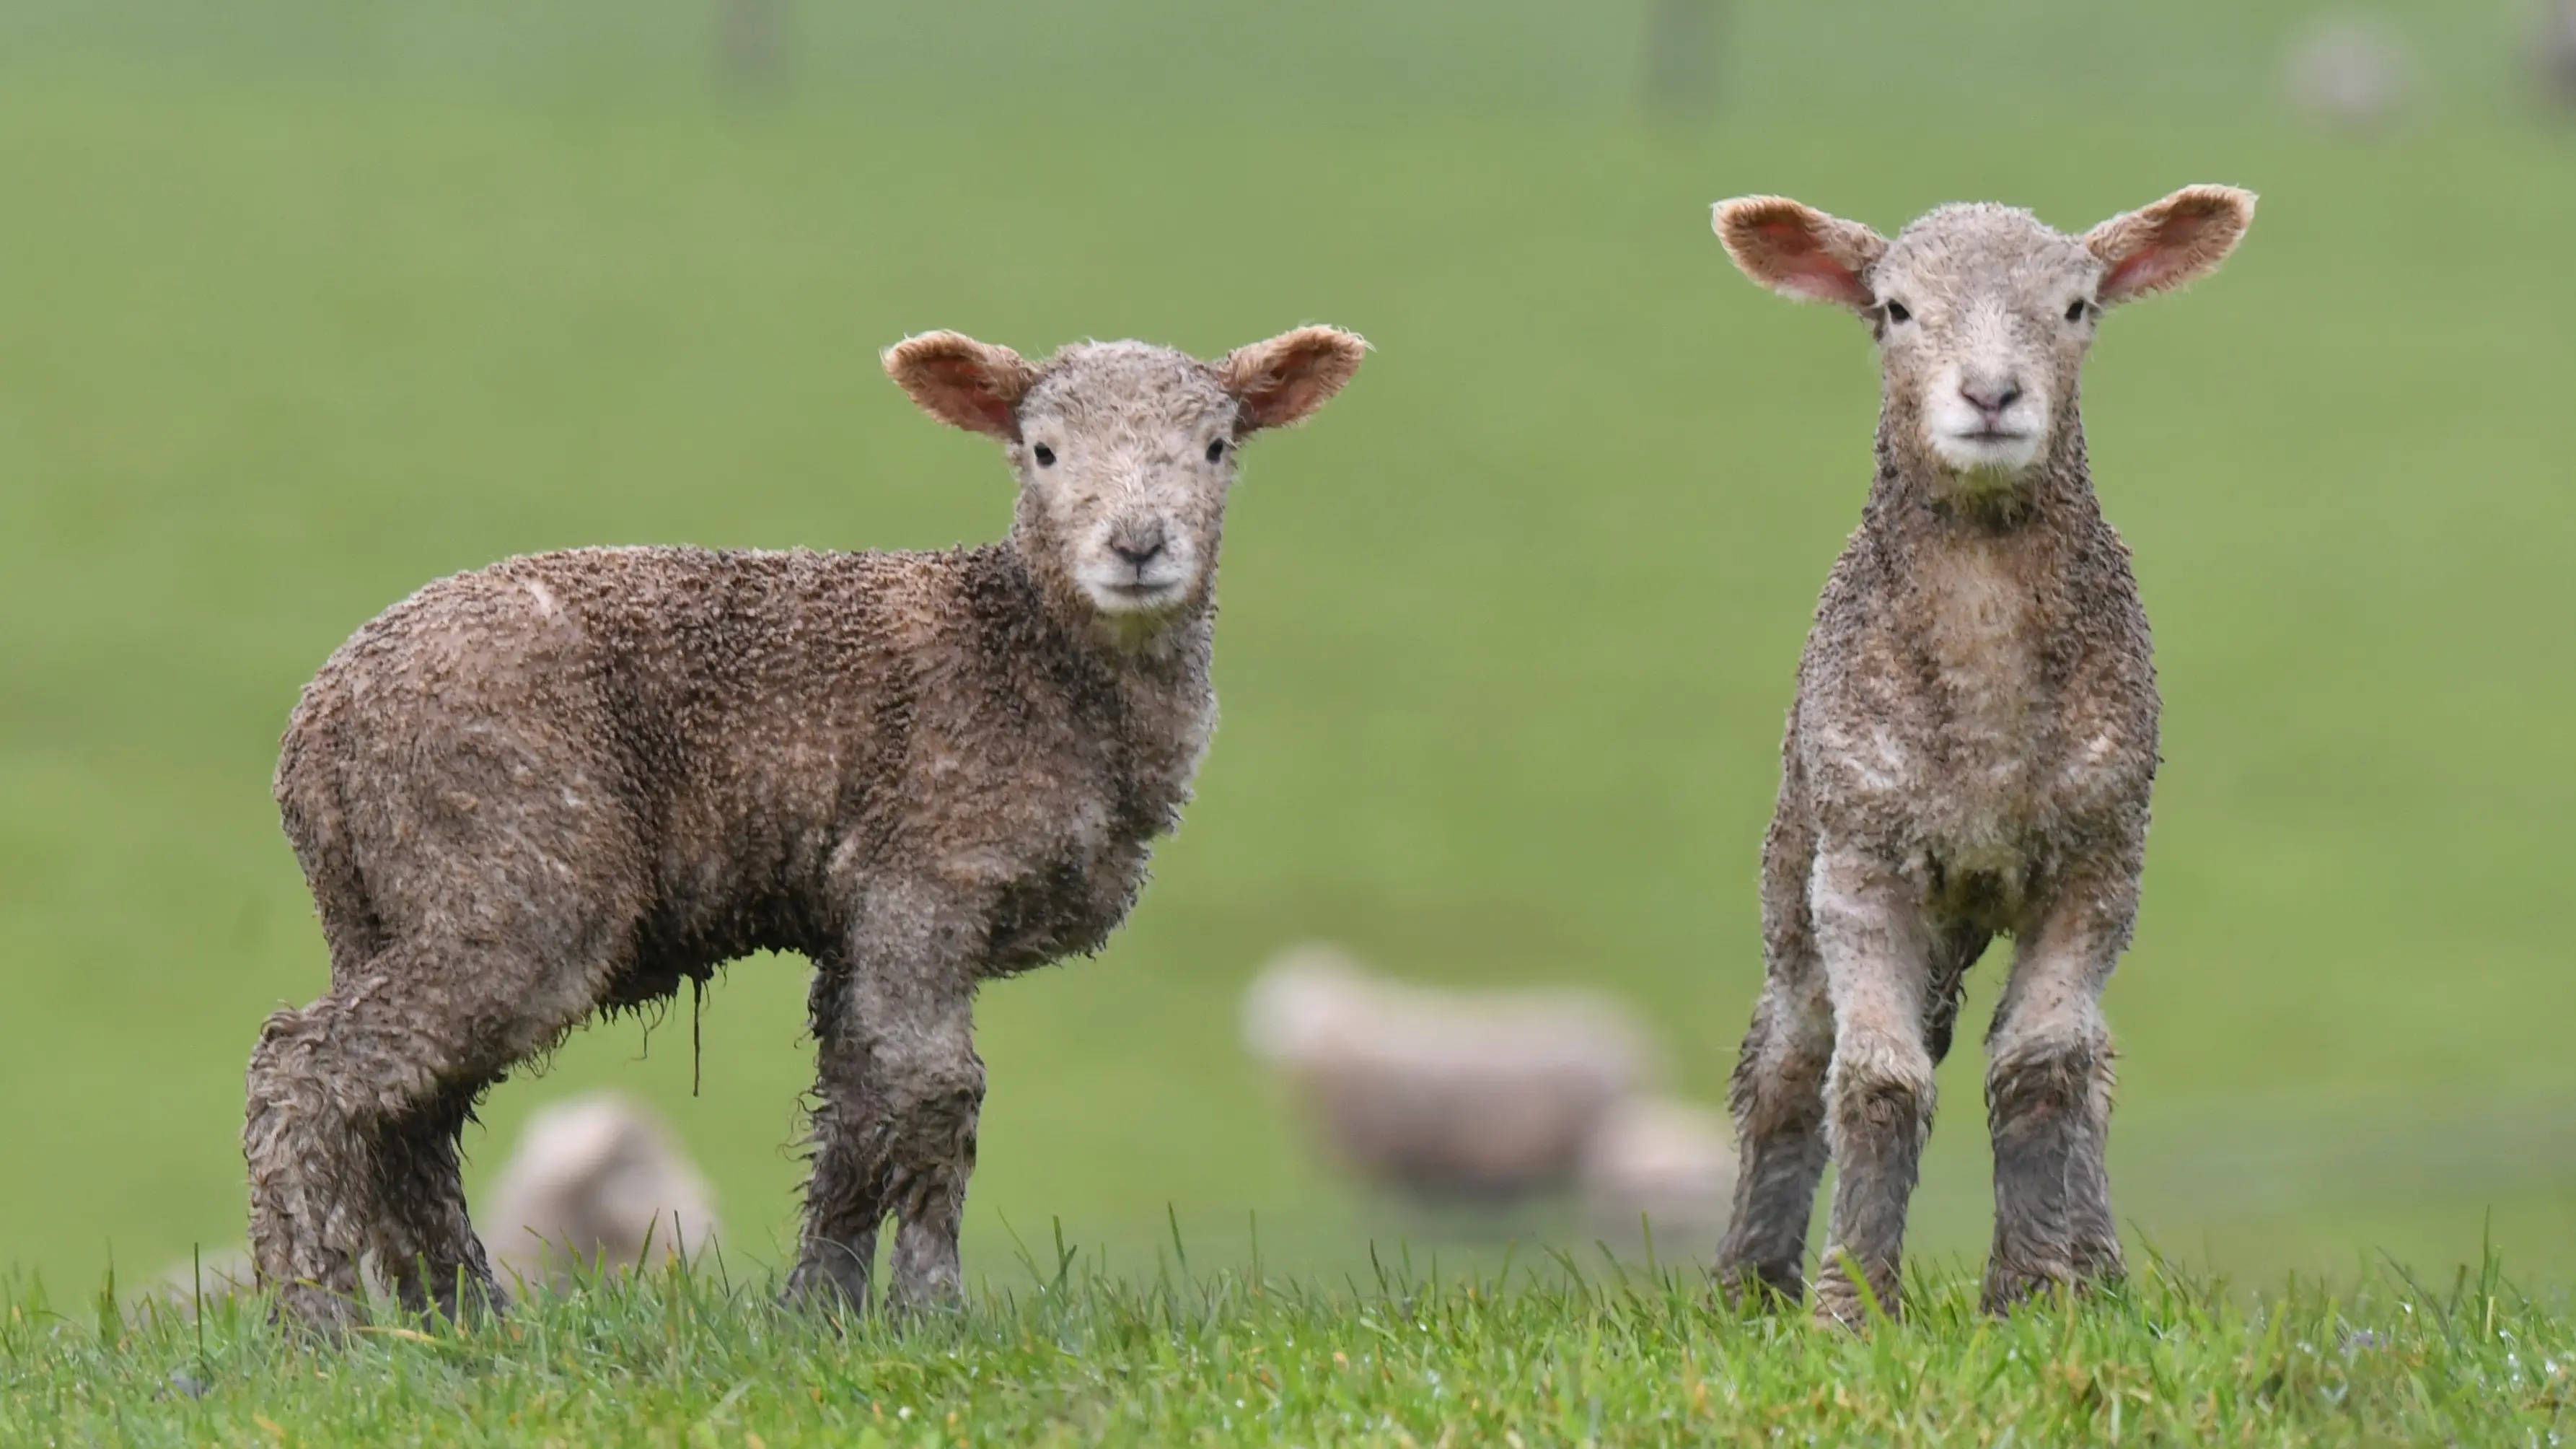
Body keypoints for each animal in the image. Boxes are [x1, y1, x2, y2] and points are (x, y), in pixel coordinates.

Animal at [1706, 187, 2254, 1323]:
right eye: (1895, 310)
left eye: (2077, 307)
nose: (1991, 393)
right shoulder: (1862, 861)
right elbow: (1877, 1080)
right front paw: (1850, 1312)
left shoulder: (2100, 862)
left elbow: (2040, 1068)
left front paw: (2037, 1292)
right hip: (1793, 872)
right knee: (1784, 1061)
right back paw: (1748, 1287)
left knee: (2089, 1064)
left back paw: (2098, 1266)